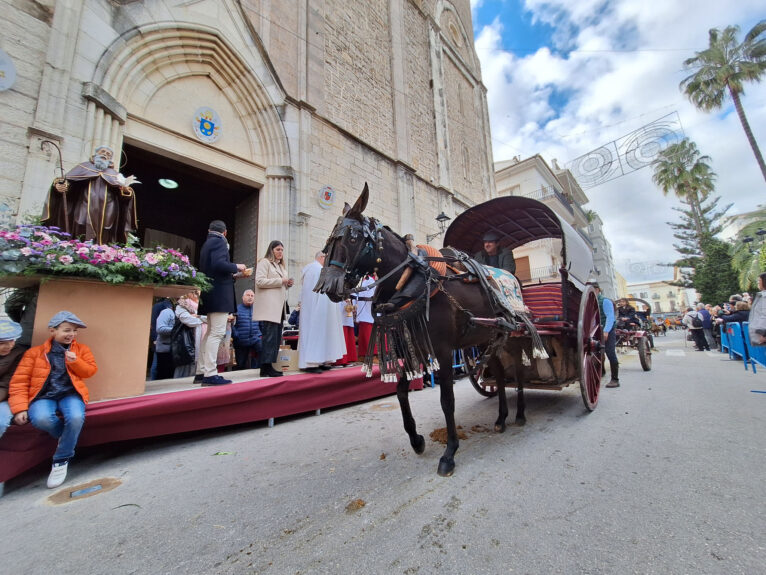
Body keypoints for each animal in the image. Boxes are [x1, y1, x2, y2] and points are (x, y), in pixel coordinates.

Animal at [314, 184, 544, 476]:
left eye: (352, 239)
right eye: (330, 239)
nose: (328, 285)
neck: (412, 279)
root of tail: (511, 279)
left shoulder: (443, 351)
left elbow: (447, 400)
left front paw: (450, 452)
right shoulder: (410, 346)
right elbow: (401, 391)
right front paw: (416, 439)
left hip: (512, 335)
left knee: (518, 371)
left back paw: (520, 414)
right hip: (486, 338)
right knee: (501, 375)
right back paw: (501, 418)